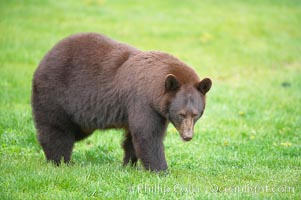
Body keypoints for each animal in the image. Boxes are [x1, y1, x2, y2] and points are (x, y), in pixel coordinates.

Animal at [31, 32, 211, 172]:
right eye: (181, 114)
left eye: (196, 114)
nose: (188, 136)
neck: (155, 89)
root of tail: (45, 57)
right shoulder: (142, 102)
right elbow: (148, 135)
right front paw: (161, 170)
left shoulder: (157, 110)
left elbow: (133, 138)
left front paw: (128, 164)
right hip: (56, 93)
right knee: (56, 130)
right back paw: (60, 161)